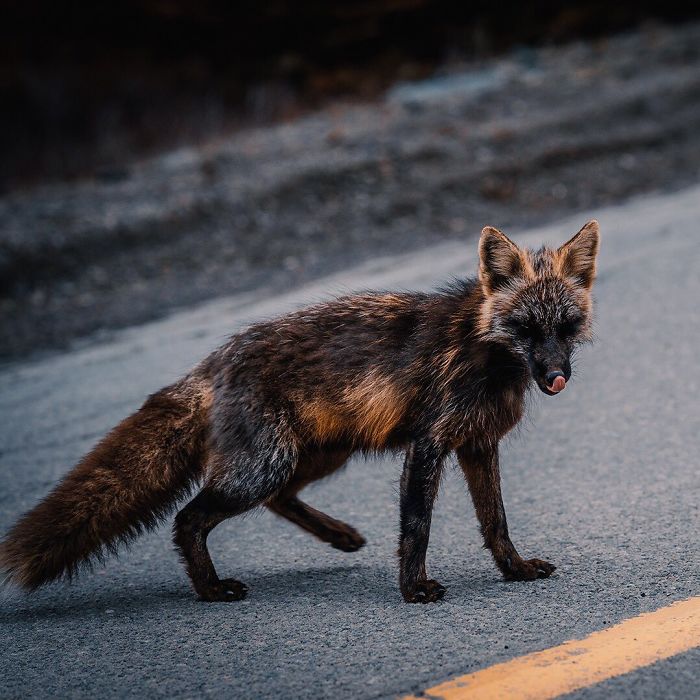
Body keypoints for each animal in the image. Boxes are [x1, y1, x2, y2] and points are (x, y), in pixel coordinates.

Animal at [1, 221, 599, 603]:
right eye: (524, 328)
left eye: (566, 326)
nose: (556, 376)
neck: (483, 354)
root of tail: (214, 360)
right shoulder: (430, 443)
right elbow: (417, 527)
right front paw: (413, 590)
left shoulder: (476, 443)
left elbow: (496, 522)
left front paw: (515, 571)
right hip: (265, 466)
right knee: (188, 518)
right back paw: (210, 590)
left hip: (314, 457)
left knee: (278, 499)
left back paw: (339, 537)